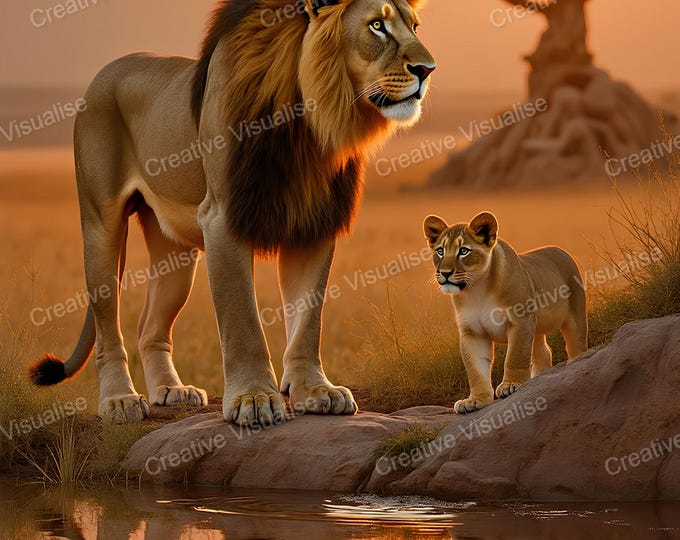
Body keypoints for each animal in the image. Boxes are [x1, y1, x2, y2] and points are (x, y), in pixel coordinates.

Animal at [28, 0, 435, 426]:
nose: (428, 69)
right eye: (377, 26)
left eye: (415, 27)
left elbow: (309, 319)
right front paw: (254, 398)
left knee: (149, 326)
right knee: (108, 324)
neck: (309, 117)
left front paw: (316, 390)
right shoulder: (222, 218)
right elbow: (242, 319)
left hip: (174, 253)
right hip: (101, 225)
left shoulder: (315, 221)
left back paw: (171, 391)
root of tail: (105, 71)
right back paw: (120, 400)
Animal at [423, 212, 588, 414]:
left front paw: (511, 385)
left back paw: (576, 362)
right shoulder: (472, 333)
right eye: (440, 251)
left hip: (575, 313)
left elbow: (515, 356)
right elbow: (475, 369)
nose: (445, 273)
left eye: (463, 251)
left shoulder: (521, 320)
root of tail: (561, 250)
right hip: (535, 330)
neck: (476, 289)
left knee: (576, 342)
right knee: (543, 352)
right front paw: (475, 400)